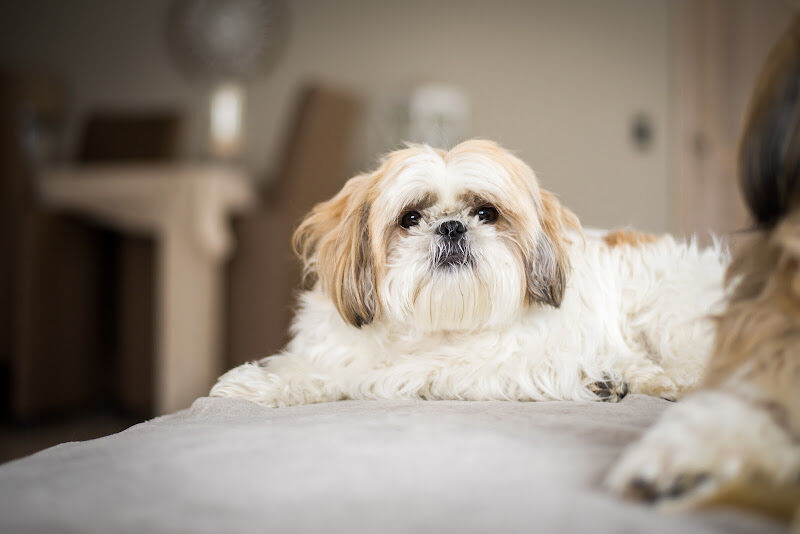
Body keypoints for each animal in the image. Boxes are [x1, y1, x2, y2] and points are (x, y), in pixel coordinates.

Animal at [209, 137, 728, 406]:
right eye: (410, 218)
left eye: (485, 213)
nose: (452, 226)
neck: (438, 327)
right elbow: (311, 366)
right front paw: (266, 381)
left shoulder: (485, 368)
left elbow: (363, 377)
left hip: (663, 310)